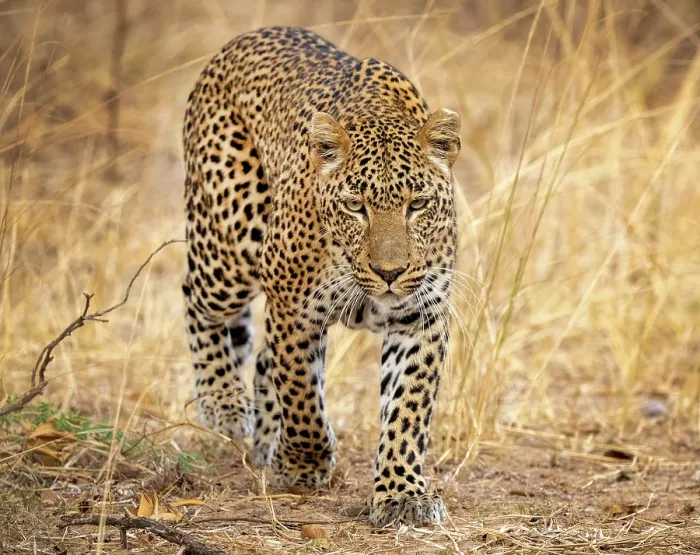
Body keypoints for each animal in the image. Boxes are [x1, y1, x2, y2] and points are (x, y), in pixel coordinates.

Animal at [182, 26, 461, 527]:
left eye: (417, 205)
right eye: (355, 206)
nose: (389, 273)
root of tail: (242, 40)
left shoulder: (421, 315)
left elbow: (407, 407)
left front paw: (401, 494)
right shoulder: (293, 306)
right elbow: (301, 395)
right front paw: (302, 463)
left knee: (261, 358)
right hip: (229, 245)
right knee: (198, 301)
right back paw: (224, 403)